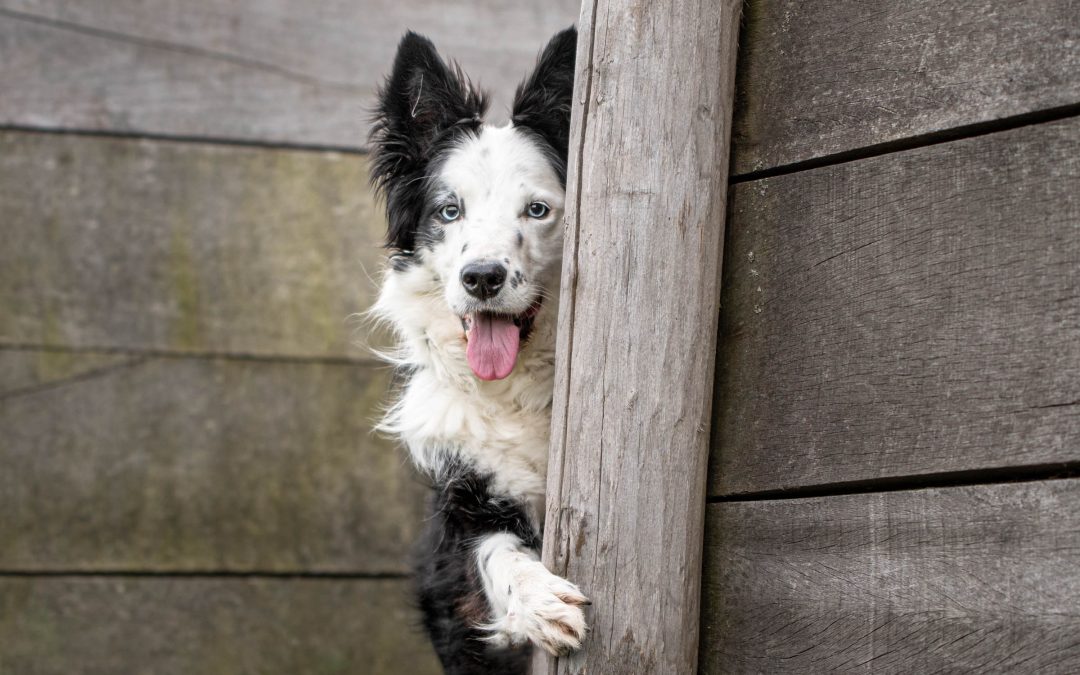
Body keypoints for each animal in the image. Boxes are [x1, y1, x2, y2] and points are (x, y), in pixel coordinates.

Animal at [367, 24, 587, 669]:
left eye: (537, 210)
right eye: (449, 211)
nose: (482, 277)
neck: (517, 390)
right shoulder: (461, 511)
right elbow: (492, 550)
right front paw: (539, 598)